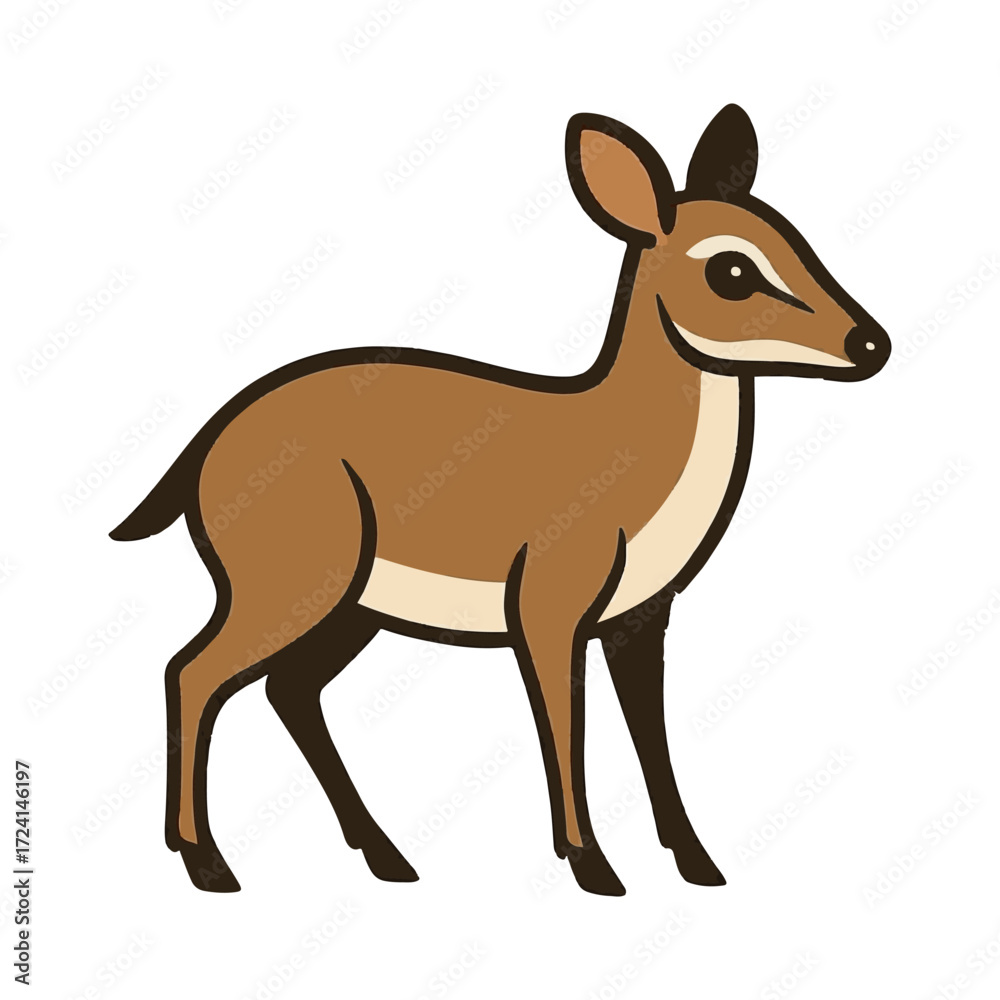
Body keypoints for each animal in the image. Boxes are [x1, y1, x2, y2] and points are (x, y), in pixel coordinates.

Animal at [110, 105, 890, 896]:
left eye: (793, 236)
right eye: (732, 268)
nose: (871, 344)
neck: (632, 453)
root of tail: (209, 442)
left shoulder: (641, 615)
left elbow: (651, 733)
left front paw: (699, 864)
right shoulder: (547, 606)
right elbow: (566, 726)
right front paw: (594, 867)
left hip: (351, 607)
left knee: (287, 690)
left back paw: (389, 859)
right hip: (289, 587)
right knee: (192, 673)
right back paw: (211, 865)